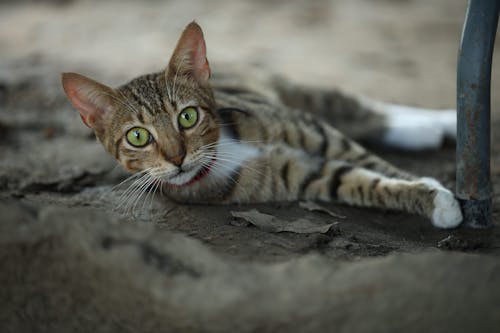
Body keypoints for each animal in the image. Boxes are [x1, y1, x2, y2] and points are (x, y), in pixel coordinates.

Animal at [60, 21, 462, 228]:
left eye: (187, 116)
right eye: (138, 136)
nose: (177, 158)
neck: (221, 153)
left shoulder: (313, 131)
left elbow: (369, 160)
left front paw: (436, 190)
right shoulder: (297, 174)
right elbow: (356, 181)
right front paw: (434, 199)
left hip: (303, 99)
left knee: (363, 109)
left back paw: (445, 120)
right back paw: (424, 132)